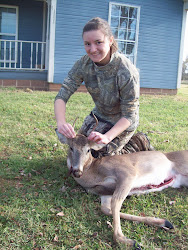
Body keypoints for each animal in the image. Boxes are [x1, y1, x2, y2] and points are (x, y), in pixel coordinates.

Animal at [55, 118, 188, 249]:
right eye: (71, 148)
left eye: (88, 150)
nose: (77, 171)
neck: (94, 172)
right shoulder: (103, 193)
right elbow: (106, 209)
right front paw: (162, 222)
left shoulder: (128, 173)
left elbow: (115, 203)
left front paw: (127, 240)